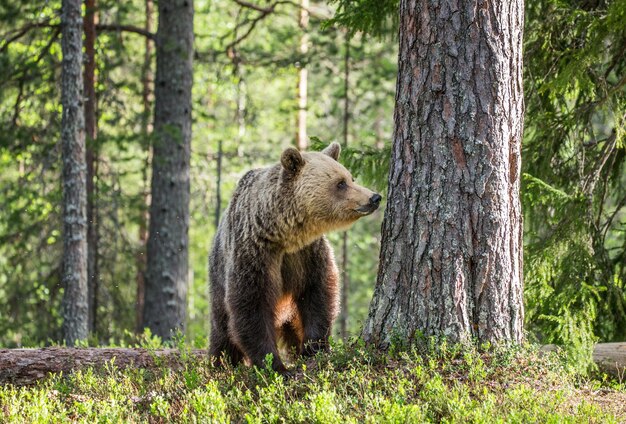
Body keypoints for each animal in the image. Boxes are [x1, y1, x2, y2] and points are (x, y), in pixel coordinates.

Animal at [207, 143, 378, 374]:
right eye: (341, 183)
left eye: (351, 178)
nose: (374, 197)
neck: (284, 235)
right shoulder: (254, 253)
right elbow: (251, 305)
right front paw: (275, 365)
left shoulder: (307, 254)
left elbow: (319, 295)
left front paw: (313, 349)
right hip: (218, 279)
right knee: (222, 329)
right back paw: (221, 363)